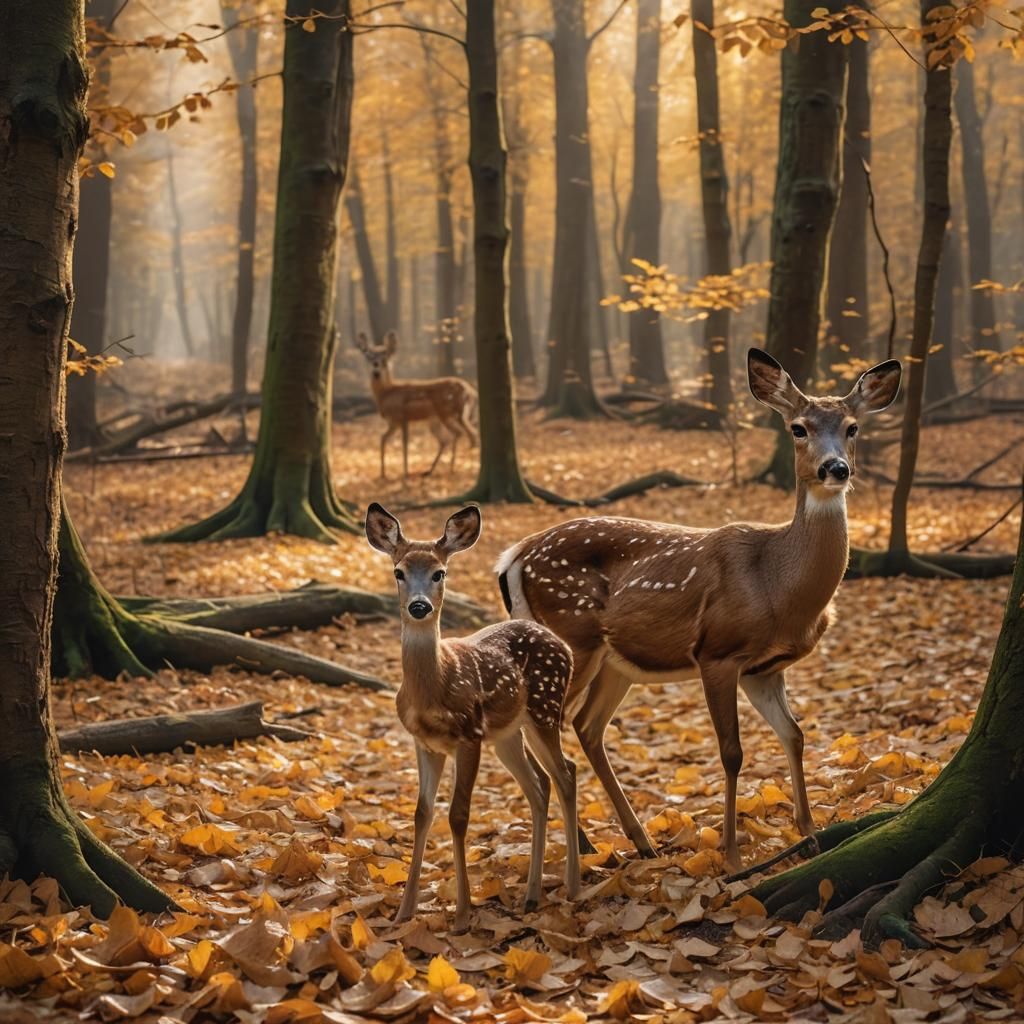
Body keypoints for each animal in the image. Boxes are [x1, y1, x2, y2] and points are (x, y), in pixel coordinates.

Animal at [355, 331, 477, 479]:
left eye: (385, 358)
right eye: (368, 356)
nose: (376, 371)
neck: (386, 393)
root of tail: (470, 391)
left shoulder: (401, 417)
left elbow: (404, 444)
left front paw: (405, 473)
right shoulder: (394, 422)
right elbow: (383, 439)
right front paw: (383, 474)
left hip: (446, 412)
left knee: (461, 433)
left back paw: (452, 468)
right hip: (437, 419)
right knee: (449, 439)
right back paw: (430, 471)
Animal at [365, 502, 581, 931]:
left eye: (439, 572)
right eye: (398, 571)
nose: (419, 606)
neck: (434, 689)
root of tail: (564, 645)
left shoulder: (470, 734)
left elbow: (459, 816)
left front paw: (463, 914)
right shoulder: (425, 743)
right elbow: (421, 814)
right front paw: (403, 912)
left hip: (544, 709)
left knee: (565, 774)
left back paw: (572, 886)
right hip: (510, 734)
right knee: (541, 784)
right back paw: (531, 895)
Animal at [495, 349, 902, 871]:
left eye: (852, 427)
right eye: (798, 427)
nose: (835, 468)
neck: (778, 584)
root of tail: (513, 555)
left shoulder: (765, 668)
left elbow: (793, 734)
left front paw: (810, 835)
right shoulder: (718, 651)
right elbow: (731, 752)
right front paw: (731, 855)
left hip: (614, 662)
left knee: (586, 727)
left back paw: (639, 842)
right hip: (571, 640)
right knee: (546, 733)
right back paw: (584, 845)